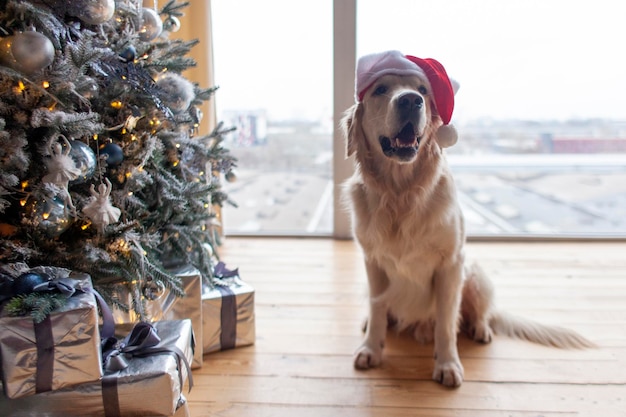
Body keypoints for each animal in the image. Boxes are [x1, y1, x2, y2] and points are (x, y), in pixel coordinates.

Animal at [342, 51, 588, 386]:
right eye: (380, 89)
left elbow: (446, 322)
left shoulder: (451, 264)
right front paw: (371, 349)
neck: (401, 194)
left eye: (423, 90)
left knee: (482, 314)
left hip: (475, 274)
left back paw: (480, 329)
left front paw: (447, 364)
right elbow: (379, 307)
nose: (411, 101)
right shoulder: (373, 262)